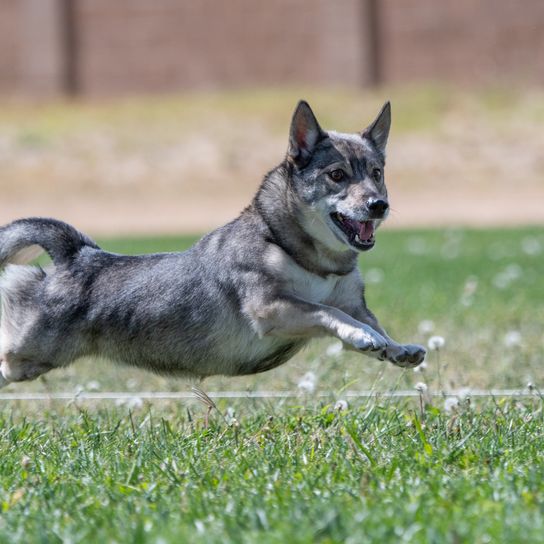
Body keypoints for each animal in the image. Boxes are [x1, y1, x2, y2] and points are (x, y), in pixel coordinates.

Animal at [0, 100, 424, 384]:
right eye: (337, 175)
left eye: (377, 173)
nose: (379, 205)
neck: (305, 257)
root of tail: (78, 255)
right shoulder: (271, 309)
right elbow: (330, 313)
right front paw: (363, 334)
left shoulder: (352, 302)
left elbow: (368, 321)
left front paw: (397, 347)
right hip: (27, 352)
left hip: (31, 363)